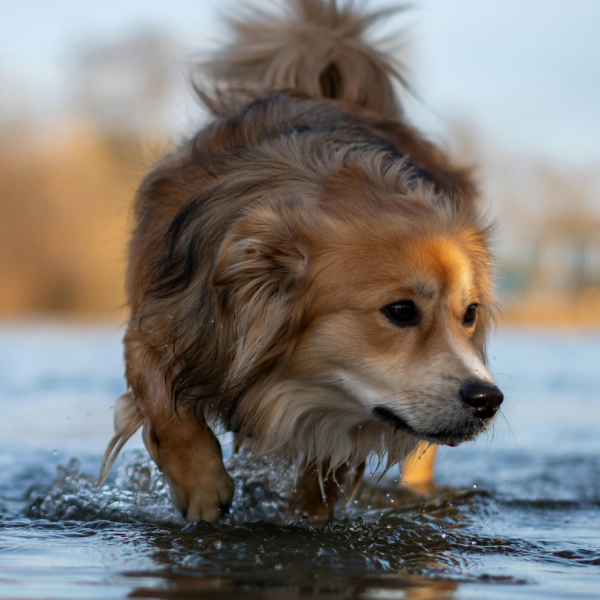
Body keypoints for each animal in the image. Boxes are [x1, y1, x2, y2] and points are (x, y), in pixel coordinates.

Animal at [98, 0, 502, 524]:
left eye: (469, 314)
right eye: (400, 311)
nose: (488, 399)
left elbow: (326, 473)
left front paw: (302, 512)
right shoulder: (164, 319)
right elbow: (164, 401)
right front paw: (201, 486)